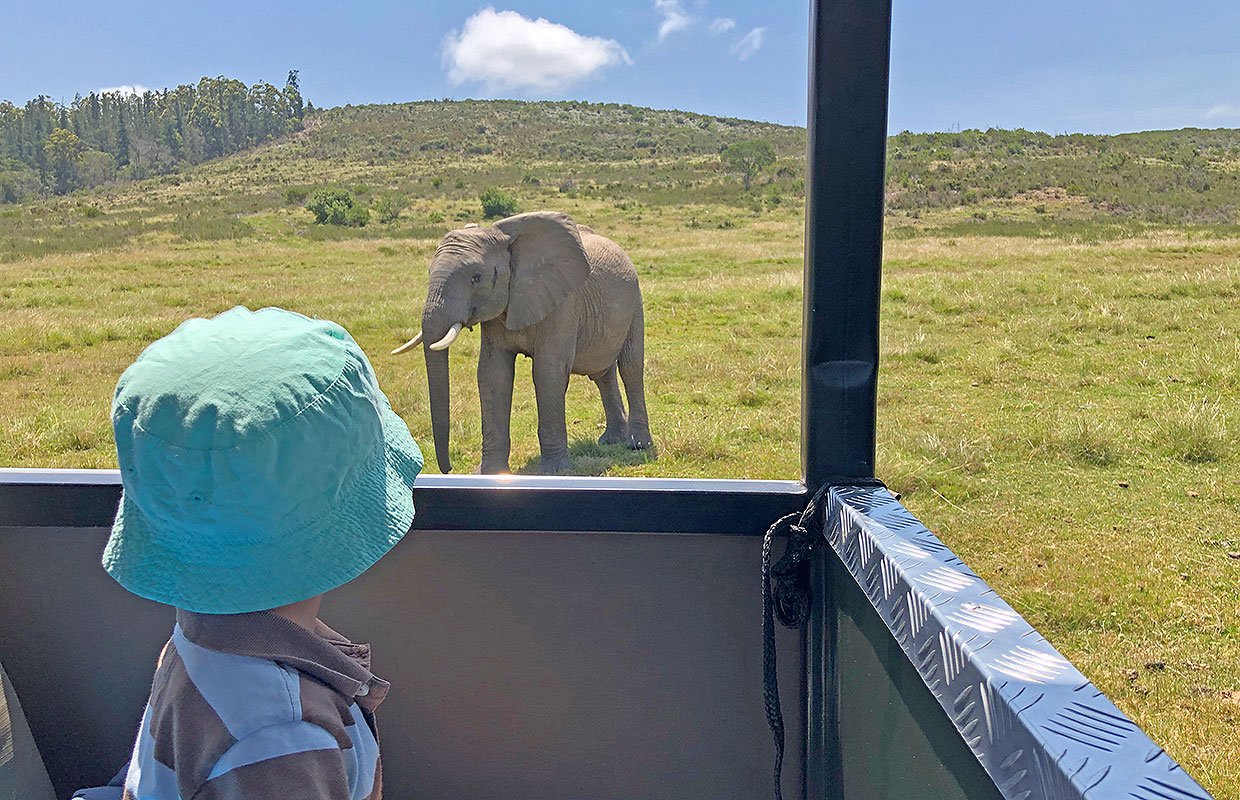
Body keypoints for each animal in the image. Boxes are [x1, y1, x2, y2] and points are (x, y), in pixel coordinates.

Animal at [391, 211, 652, 474]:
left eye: (476, 278)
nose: (448, 469)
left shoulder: (563, 303)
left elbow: (548, 372)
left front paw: (553, 472)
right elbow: (493, 373)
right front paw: (488, 473)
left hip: (635, 300)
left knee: (630, 366)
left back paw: (638, 445)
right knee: (602, 374)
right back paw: (612, 440)